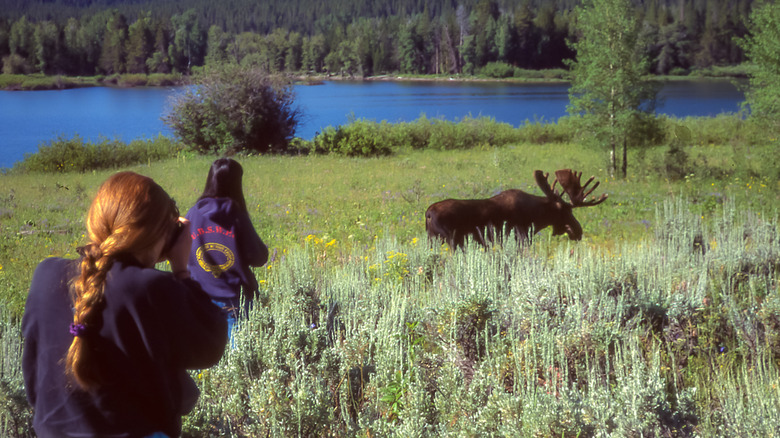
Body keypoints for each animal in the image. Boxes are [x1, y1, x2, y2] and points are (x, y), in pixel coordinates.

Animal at [424, 169, 608, 250]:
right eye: (564, 210)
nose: (578, 231)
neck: (536, 216)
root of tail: (428, 214)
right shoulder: (521, 237)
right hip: (451, 240)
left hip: (432, 241)